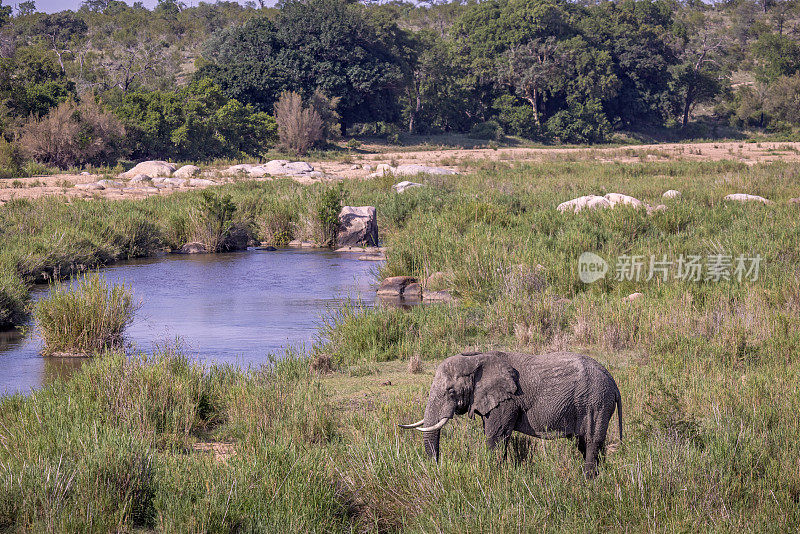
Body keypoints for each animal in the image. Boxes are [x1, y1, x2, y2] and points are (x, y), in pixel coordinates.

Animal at [400, 352, 624, 482]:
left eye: (450, 391)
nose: (437, 468)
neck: (476, 359)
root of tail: (614, 383)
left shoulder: (508, 400)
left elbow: (496, 436)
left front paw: (493, 476)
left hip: (595, 402)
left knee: (592, 441)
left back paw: (587, 481)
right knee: (586, 443)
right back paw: (600, 478)